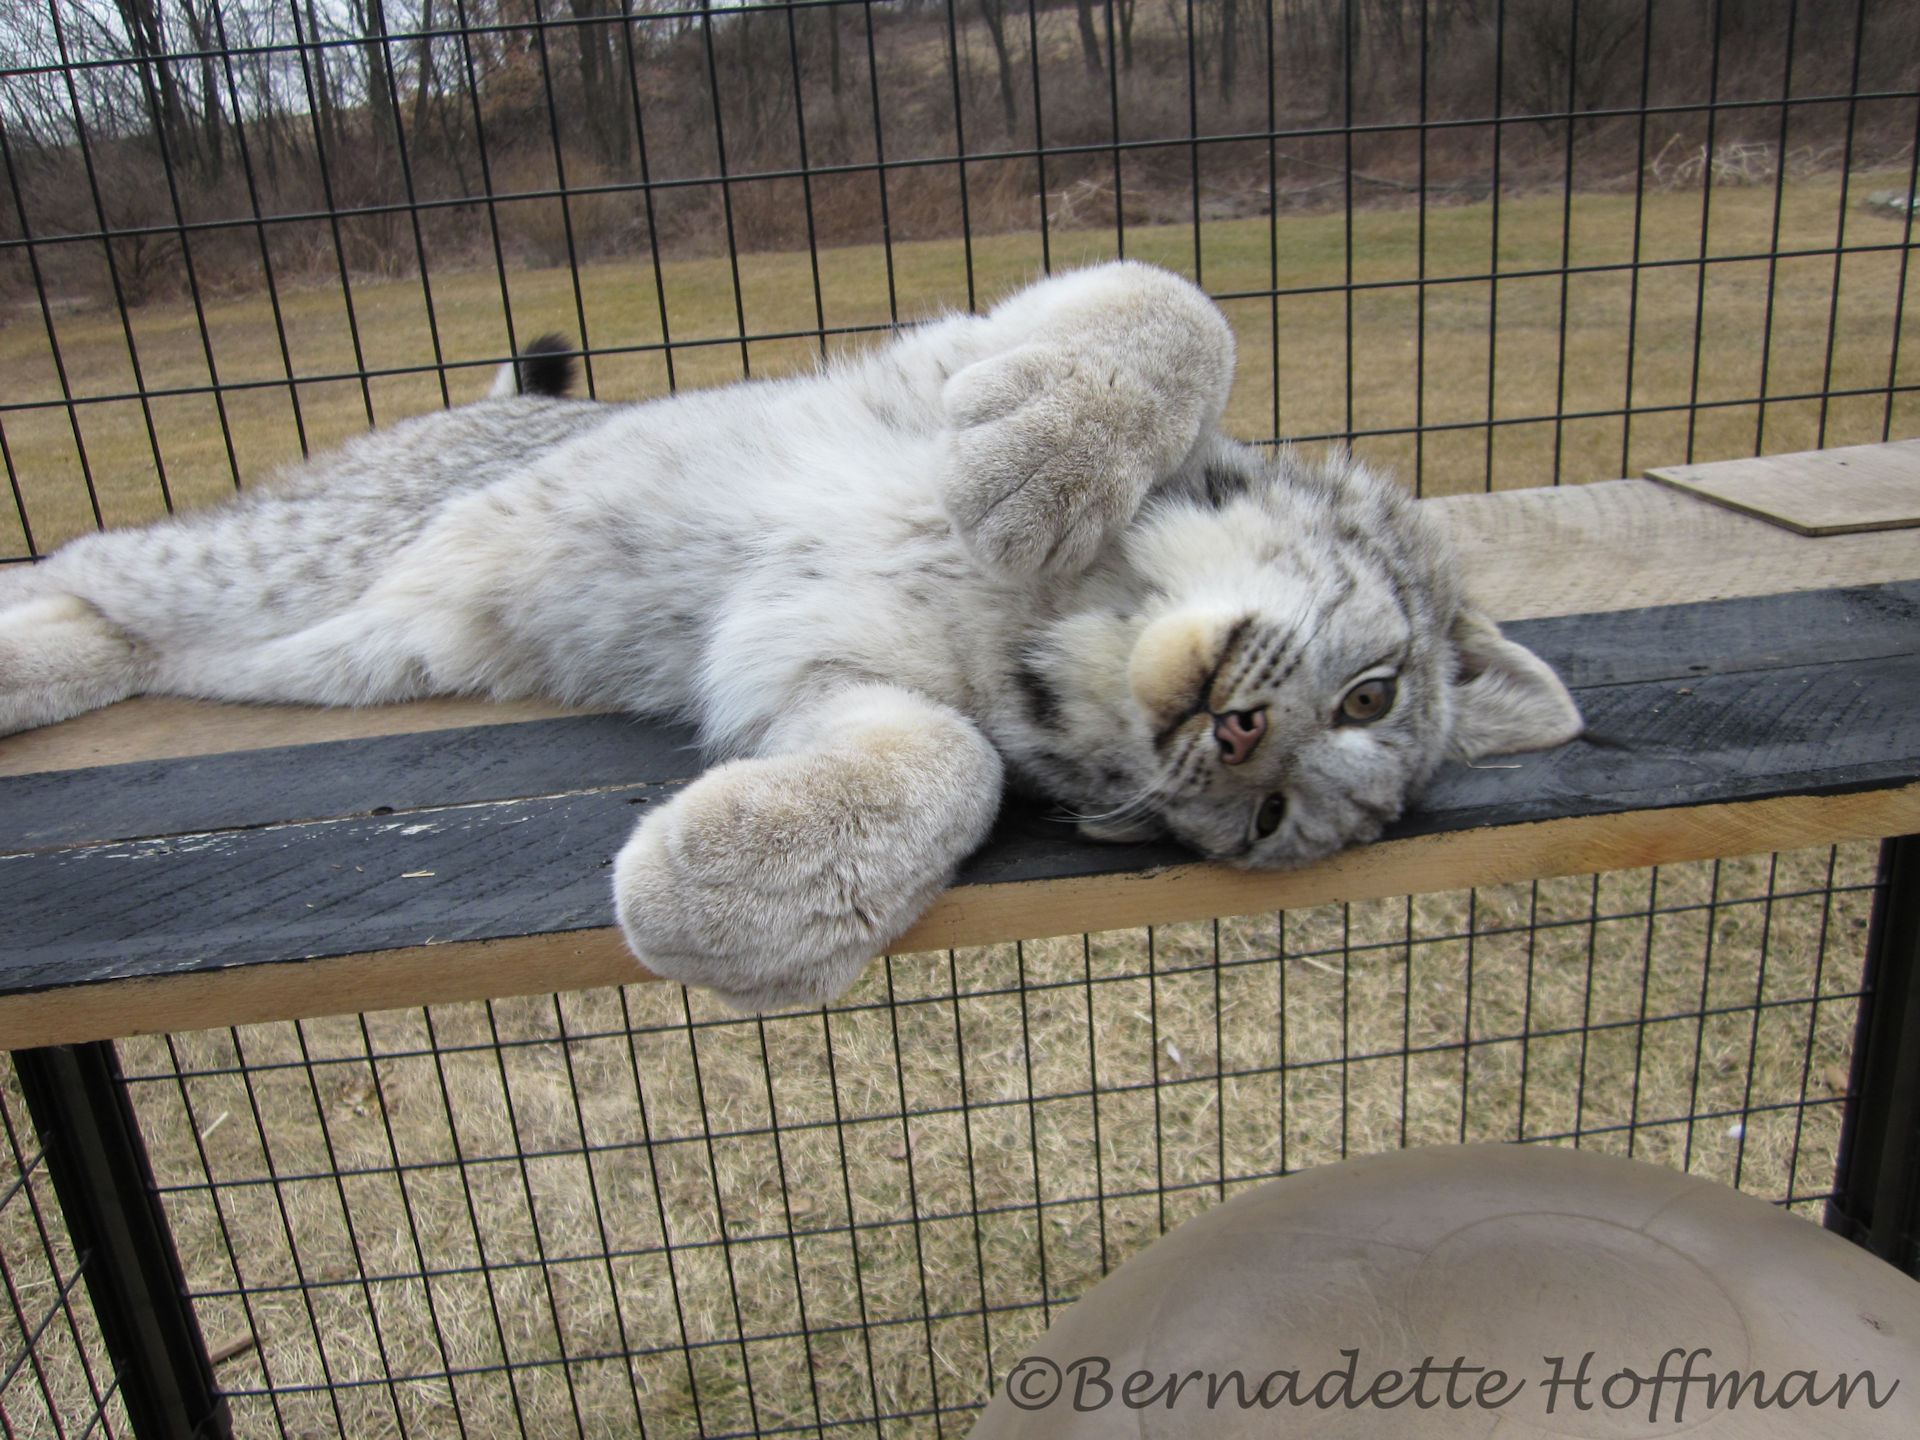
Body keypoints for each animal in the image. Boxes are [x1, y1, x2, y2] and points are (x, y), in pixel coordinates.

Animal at [0, 262, 1582, 1010]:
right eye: (1372, 692)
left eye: (1261, 827)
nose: (1238, 737)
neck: (1068, 621)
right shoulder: (955, 341)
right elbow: (1181, 306)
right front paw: (1037, 470)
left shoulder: (814, 677)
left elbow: (955, 763)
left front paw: (722, 892)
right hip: (286, 556)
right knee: (95, 562)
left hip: (336, 642)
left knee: (125, 628)